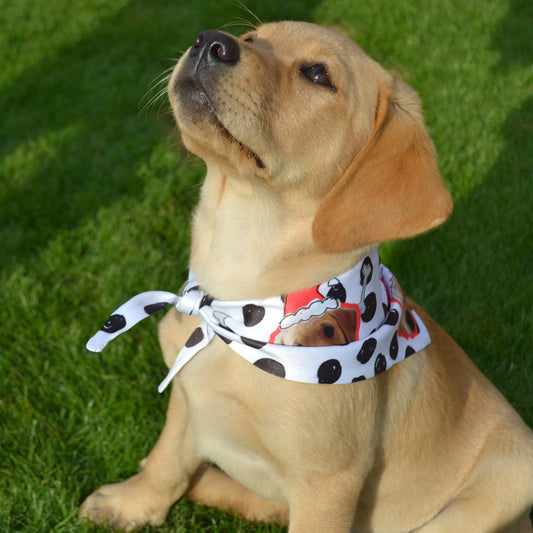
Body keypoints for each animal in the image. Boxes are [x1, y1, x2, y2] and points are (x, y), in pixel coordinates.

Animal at [79, 20, 532, 532]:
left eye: (317, 74)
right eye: (251, 37)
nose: (210, 41)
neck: (239, 296)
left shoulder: (328, 483)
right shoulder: (186, 394)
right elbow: (165, 460)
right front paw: (132, 503)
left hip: (503, 483)